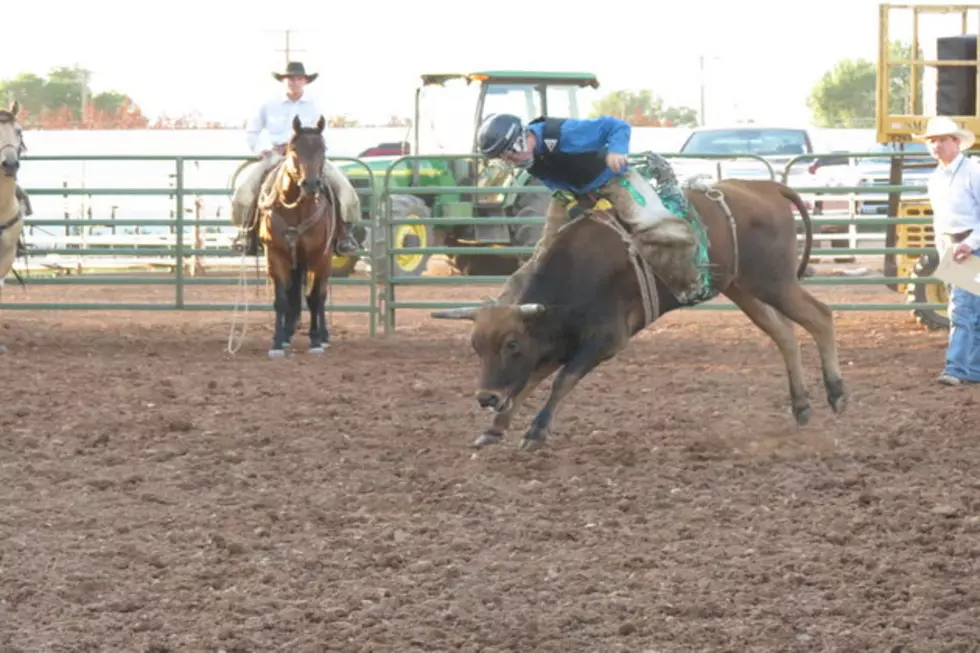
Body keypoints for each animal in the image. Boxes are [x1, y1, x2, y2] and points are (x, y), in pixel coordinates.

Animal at [255, 114, 338, 354]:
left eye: (323, 148)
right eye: (294, 149)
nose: (310, 184)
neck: (298, 209)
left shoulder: (318, 256)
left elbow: (314, 298)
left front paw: (316, 340)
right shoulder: (275, 255)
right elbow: (282, 299)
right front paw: (277, 342)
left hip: (323, 260)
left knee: (321, 295)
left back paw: (323, 335)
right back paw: (286, 334)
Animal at [432, 178, 848, 454]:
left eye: (512, 344)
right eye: (476, 347)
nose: (485, 397)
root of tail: (765, 186)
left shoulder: (605, 340)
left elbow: (561, 381)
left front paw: (535, 432)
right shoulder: (558, 342)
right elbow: (530, 380)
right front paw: (495, 428)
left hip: (774, 281)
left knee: (820, 317)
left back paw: (837, 394)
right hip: (743, 288)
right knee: (785, 334)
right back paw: (802, 405)